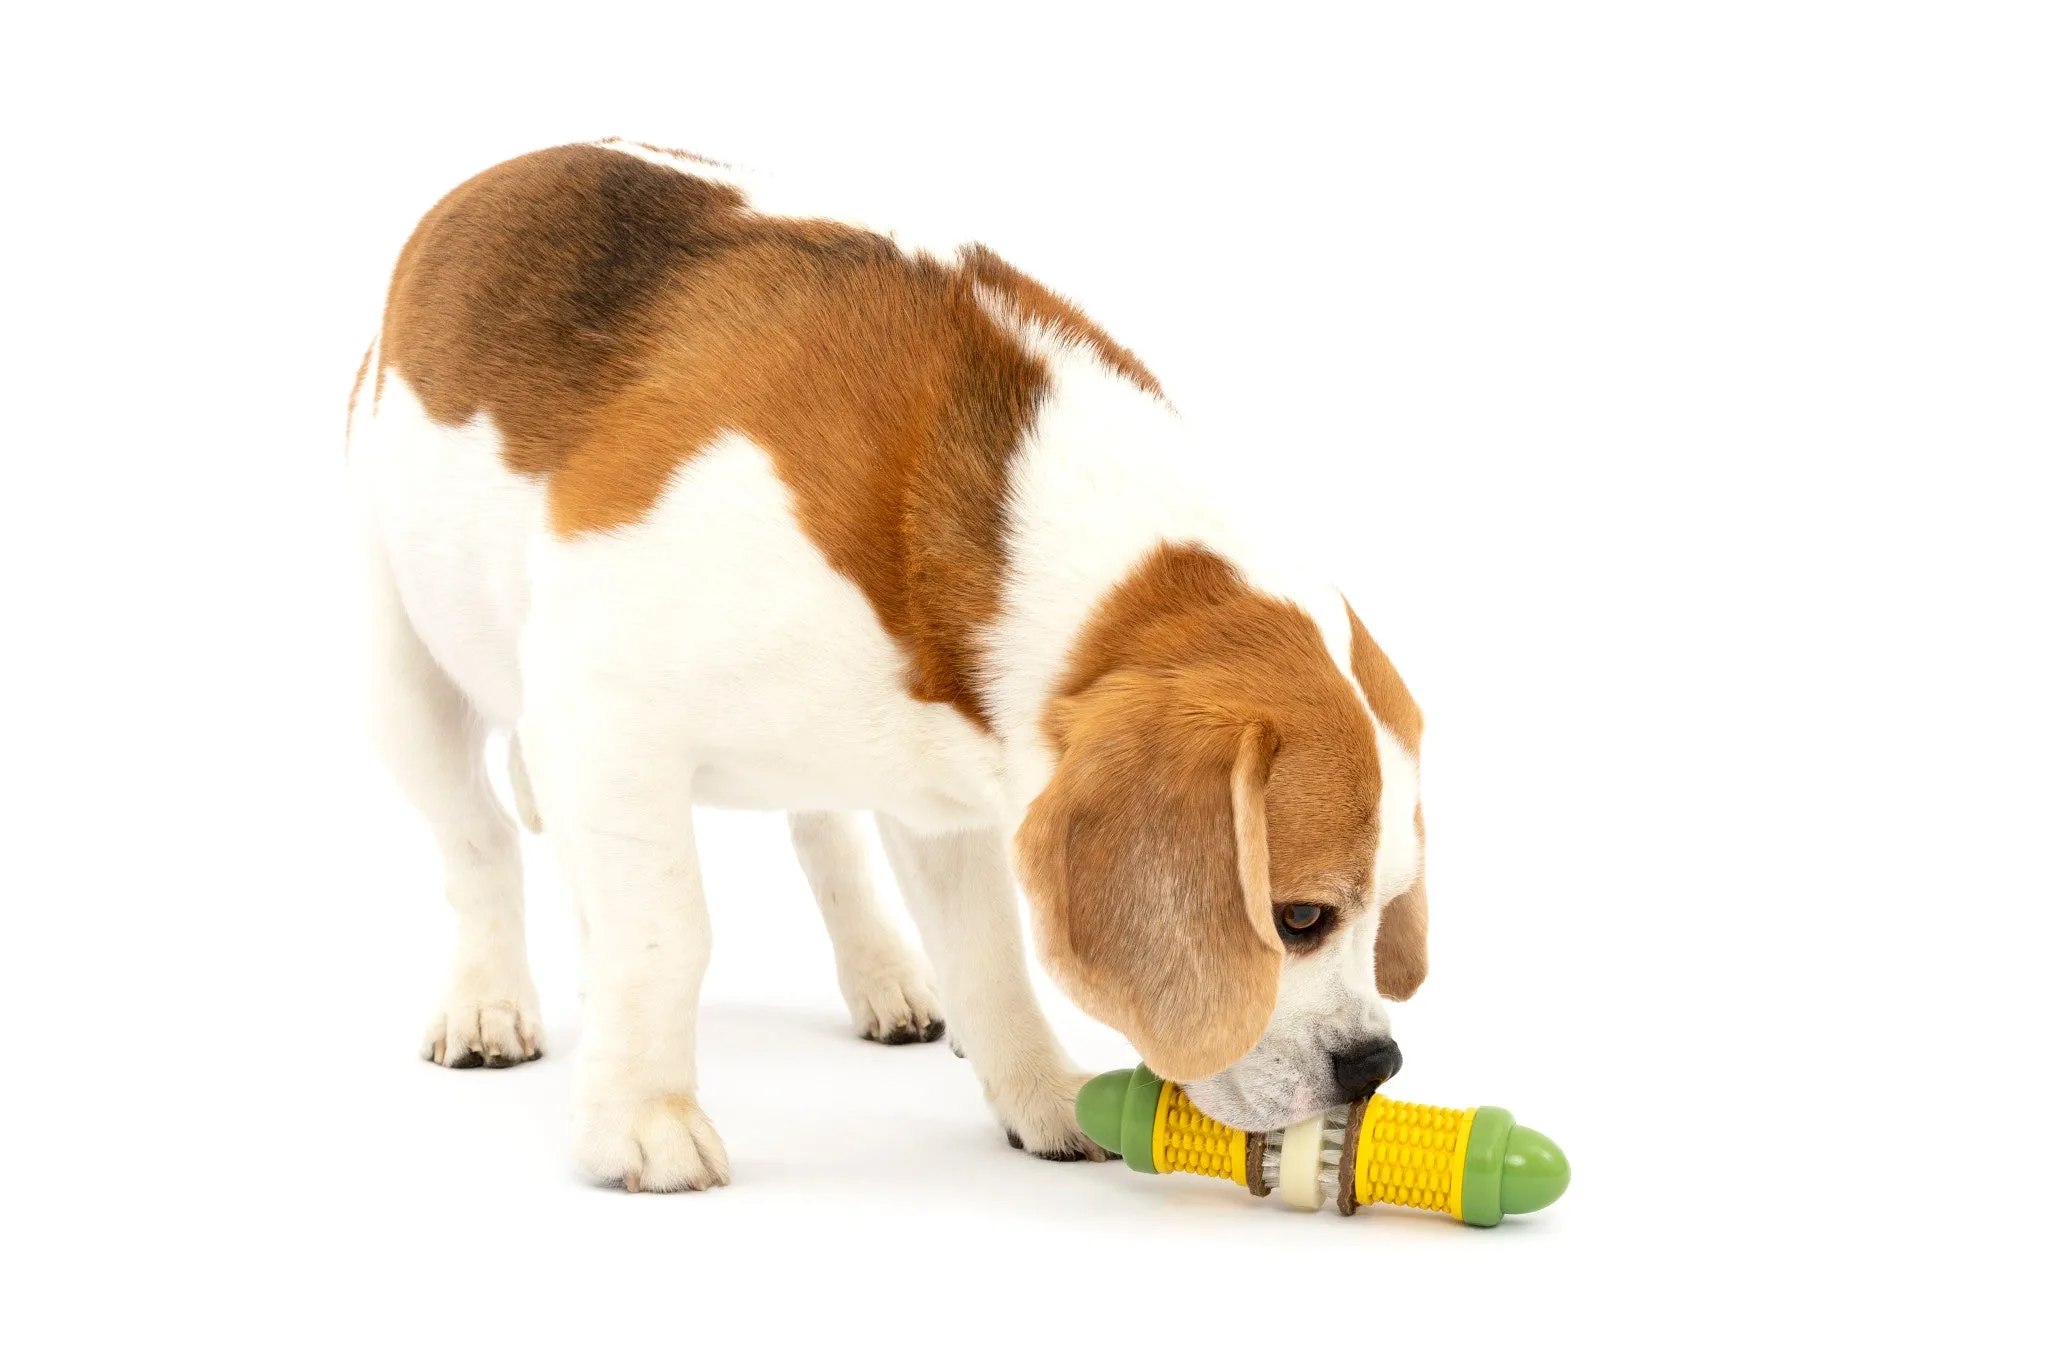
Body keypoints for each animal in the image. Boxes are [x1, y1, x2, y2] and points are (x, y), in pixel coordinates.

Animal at [352, 136, 1433, 1186]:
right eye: (1298, 916)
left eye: (1385, 906)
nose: (1374, 1066)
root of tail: (498, 175)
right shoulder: (606, 714)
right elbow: (666, 933)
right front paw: (640, 1118)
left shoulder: (945, 797)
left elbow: (989, 955)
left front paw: (1039, 1093)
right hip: (409, 679)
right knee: (480, 842)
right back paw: (488, 1000)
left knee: (823, 840)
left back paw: (882, 974)